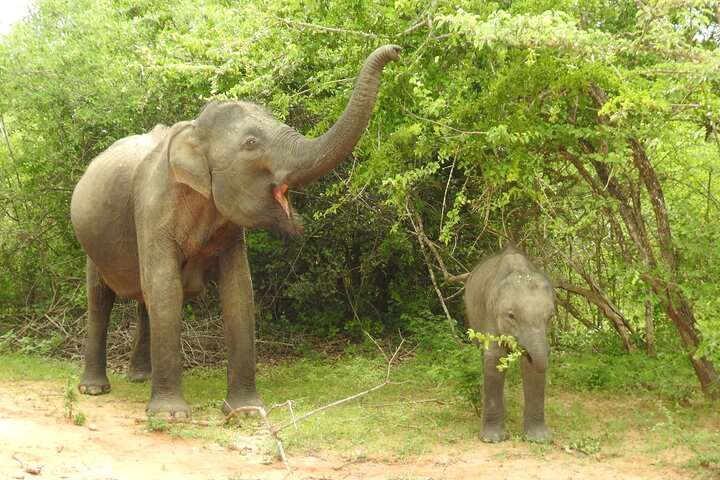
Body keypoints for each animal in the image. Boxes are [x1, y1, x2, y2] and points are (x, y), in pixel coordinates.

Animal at [70, 44, 401, 418]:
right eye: (251, 143)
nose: (396, 51)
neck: (193, 131)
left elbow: (239, 292)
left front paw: (245, 411)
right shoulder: (152, 208)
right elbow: (168, 290)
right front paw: (171, 415)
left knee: (144, 298)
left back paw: (140, 379)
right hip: (91, 243)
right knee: (101, 299)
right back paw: (94, 389)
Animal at [464, 244, 555, 442]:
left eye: (551, 317)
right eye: (511, 316)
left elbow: (530, 365)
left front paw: (539, 439)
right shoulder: (490, 312)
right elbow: (494, 357)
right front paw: (492, 439)